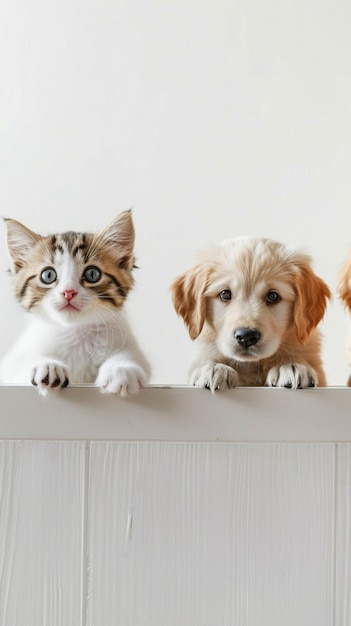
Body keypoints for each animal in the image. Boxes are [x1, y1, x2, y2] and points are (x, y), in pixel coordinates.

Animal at [0, 210, 151, 394]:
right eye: (48, 275)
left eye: (92, 274)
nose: (68, 292)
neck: (76, 331)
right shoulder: (12, 360)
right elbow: (18, 361)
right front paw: (47, 365)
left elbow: (135, 357)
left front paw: (121, 368)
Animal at [172, 235, 332, 388]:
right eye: (225, 294)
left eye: (273, 296)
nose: (246, 336)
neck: (250, 365)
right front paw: (214, 367)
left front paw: (290, 365)